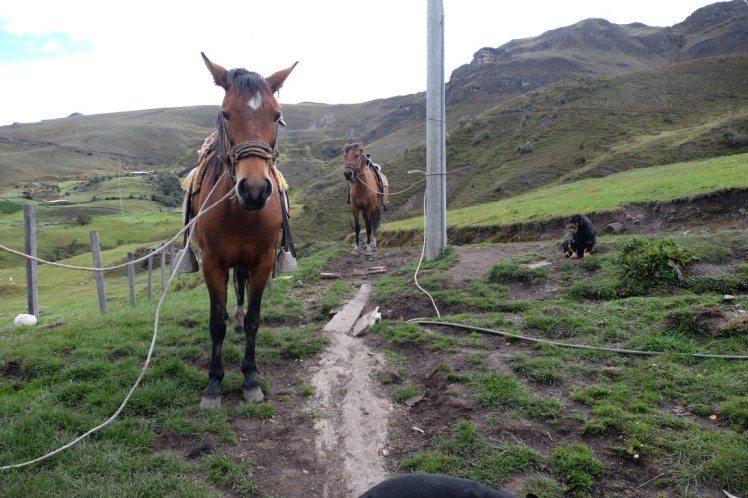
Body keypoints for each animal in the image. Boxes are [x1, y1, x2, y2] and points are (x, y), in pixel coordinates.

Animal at [190, 52, 297, 409]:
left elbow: (253, 319)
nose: (254, 189)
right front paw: (213, 383)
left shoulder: (262, 261)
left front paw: (250, 379)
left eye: (276, 116)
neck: (239, 211)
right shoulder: (212, 264)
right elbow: (214, 324)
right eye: (226, 113)